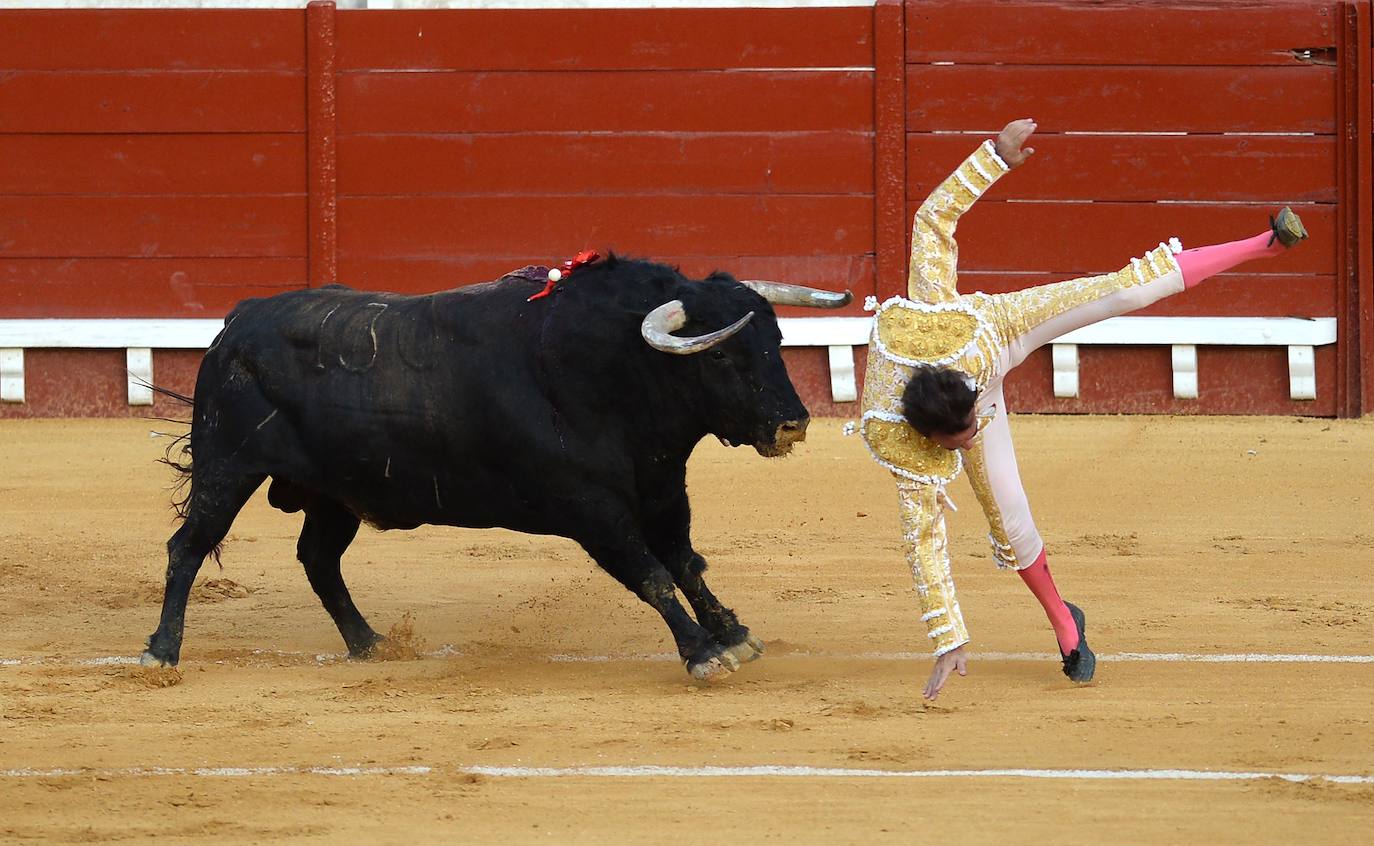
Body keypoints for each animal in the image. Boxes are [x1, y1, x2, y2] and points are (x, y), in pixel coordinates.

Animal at [139, 258, 846, 681]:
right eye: (721, 357)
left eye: (776, 342)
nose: (792, 423)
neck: (607, 369)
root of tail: (239, 319)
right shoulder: (593, 511)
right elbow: (651, 574)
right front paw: (702, 654)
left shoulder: (665, 492)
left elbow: (686, 564)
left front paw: (733, 635)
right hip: (228, 466)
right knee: (188, 547)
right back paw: (161, 652)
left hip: (337, 492)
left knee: (317, 558)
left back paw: (370, 644)